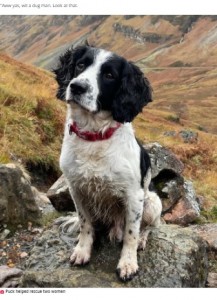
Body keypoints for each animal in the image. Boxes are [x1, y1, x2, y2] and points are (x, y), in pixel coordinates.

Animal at [54, 44, 162, 282]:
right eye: (80, 64)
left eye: (109, 75)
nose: (76, 87)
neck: (95, 138)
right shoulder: (77, 189)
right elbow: (85, 223)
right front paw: (82, 250)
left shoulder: (134, 195)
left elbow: (131, 233)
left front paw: (128, 264)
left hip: (152, 201)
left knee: (148, 227)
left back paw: (141, 240)